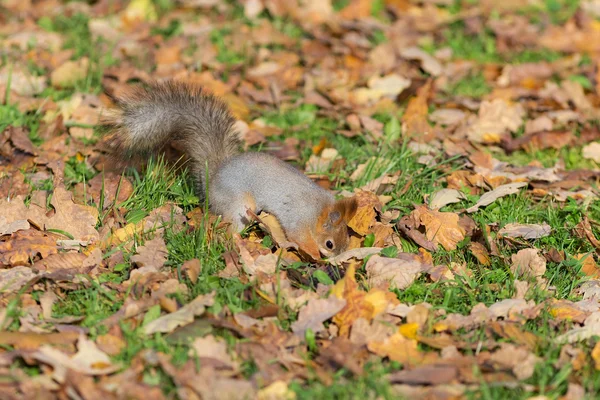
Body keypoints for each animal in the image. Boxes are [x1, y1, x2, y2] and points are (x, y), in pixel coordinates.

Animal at [104, 80, 356, 260]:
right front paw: (312, 254)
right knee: (230, 228)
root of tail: (213, 177)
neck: (319, 210)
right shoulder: (300, 219)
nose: (337, 258)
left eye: (347, 238)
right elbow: (300, 237)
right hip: (239, 205)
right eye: (330, 243)